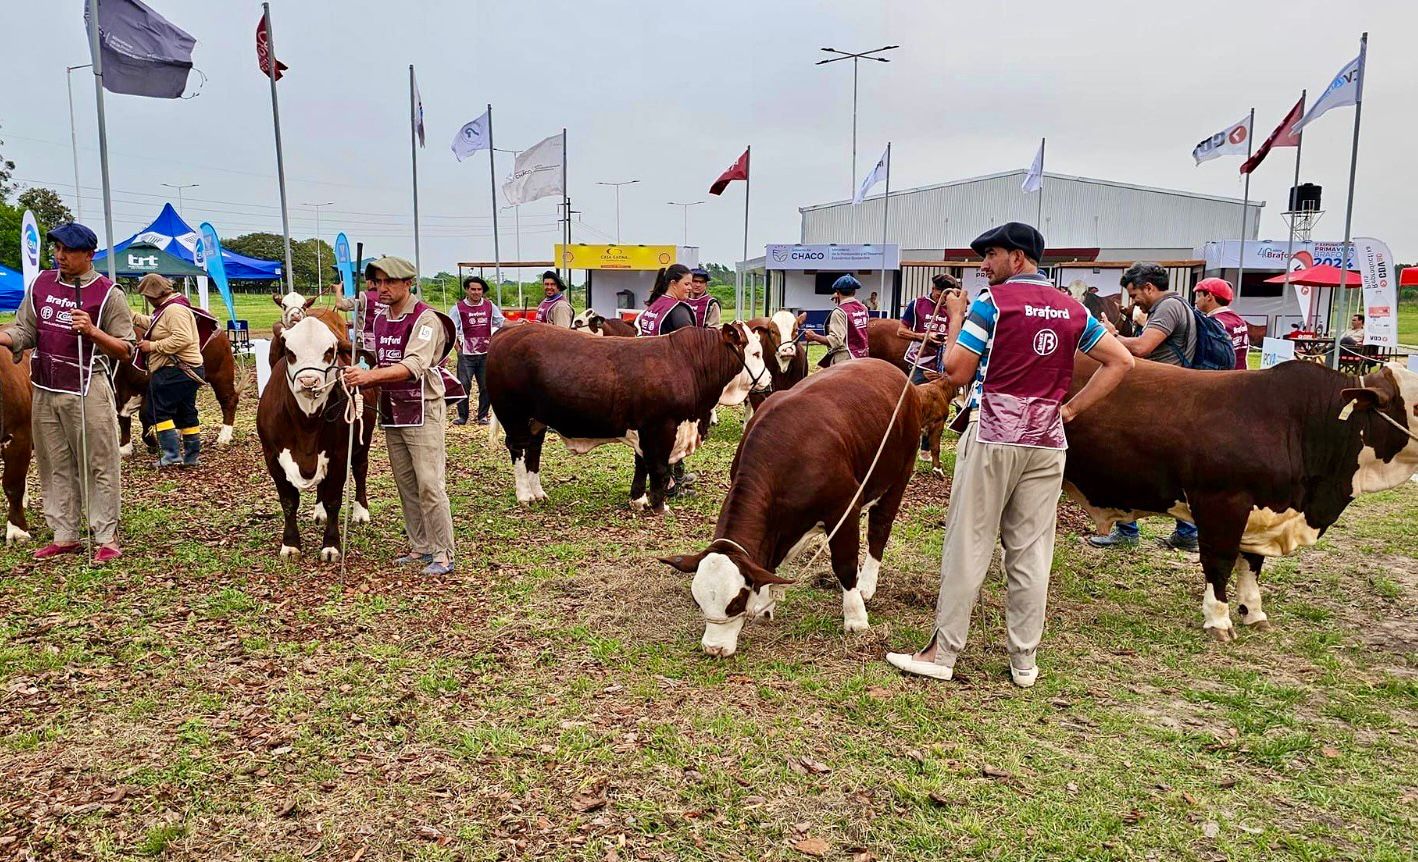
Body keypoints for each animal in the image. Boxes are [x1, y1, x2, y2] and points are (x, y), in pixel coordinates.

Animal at [255, 316, 375, 561]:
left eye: (329, 351)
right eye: (290, 351)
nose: (308, 381)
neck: (306, 424)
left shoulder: (339, 456)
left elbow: (333, 500)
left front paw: (331, 545)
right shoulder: (272, 456)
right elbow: (289, 501)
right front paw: (290, 544)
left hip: (363, 442)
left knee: (360, 470)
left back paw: (360, 512)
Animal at [486, 322, 771, 512]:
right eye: (756, 354)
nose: (769, 379)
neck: (689, 364)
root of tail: (508, 331)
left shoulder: (645, 430)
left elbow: (641, 464)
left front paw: (638, 500)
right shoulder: (660, 428)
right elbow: (658, 468)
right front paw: (660, 506)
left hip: (537, 421)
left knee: (534, 450)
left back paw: (538, 493)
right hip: (514, 416)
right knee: (519, 450)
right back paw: (525, 495)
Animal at [658, 359, 923, 656]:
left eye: (736, 602)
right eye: (698, 601)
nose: (713, 648)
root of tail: (886, 366)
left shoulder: (843, 508)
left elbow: (844, 563)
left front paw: (856, 618)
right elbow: (766, 568)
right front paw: (766, 605)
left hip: (898, 476)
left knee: (880, 528)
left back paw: (866, 585)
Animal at [1063, 357, 1418, 641]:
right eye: (1417, 405)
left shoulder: (1262, 510)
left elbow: (1251, 564)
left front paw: (1254, 613)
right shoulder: (1221, 502)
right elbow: (1219, 561)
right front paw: (1218, 620)